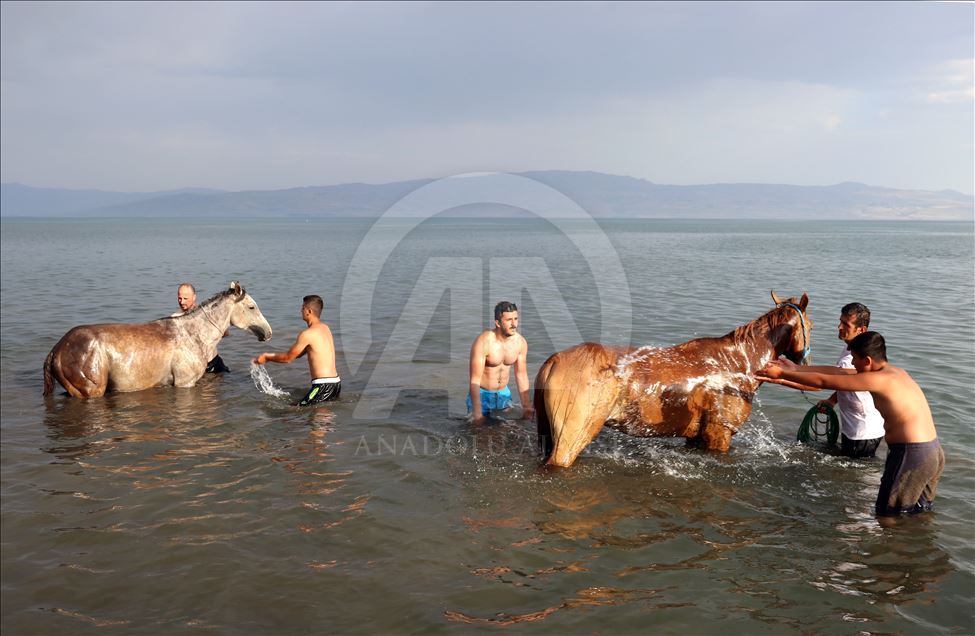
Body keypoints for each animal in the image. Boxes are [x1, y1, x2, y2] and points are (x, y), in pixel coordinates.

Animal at [44, 284, 272, 398]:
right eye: (251, 307)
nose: (268, 332)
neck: (192, 334)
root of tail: (57, 350)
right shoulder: (185, 383)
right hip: (90, 391)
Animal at [536, 294, 812, 468]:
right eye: (810, 326)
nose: (806, 362)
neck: (736, 362)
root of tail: (554, 359)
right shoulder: (720, 434)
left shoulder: (697, 437)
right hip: (570, 440)